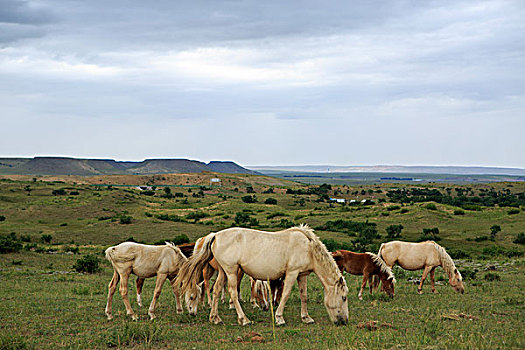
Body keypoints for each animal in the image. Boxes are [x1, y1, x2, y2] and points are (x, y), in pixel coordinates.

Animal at [176, 226, 348, 326]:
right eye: (344, 297)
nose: (344, 321)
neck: (308, 247)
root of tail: (215, 236)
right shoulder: (292, 273)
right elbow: (285, 294)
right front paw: (279, 318)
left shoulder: (301, 275)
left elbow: (303, 295)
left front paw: (306, 318)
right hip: (231, 271)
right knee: (232, 292)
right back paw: (244, 320)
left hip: (223, 272)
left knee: (217, 290)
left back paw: (215, 318)